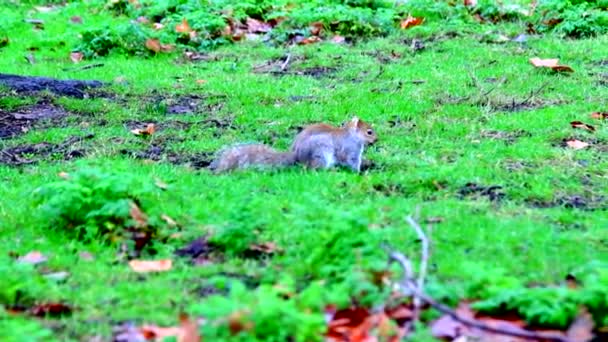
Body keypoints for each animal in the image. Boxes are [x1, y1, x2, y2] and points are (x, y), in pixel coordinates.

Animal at [210, 116, 380, 172]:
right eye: (369, 132)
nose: (377, 139)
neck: (352, 136)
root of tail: (296, 156)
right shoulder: (349, 150)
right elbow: (350, 161)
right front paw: (358, 173)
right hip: (321, 154)